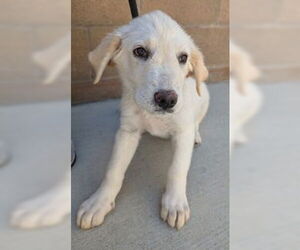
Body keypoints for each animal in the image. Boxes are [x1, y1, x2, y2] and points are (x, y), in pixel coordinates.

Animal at [77, 11, 209, 230]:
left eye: (183, 58)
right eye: (140, 51)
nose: (167, 99)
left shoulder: (182, 132)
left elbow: (177, 169)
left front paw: (174, 204)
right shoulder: (127, 132)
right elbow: (113, 170)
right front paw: (99, 202)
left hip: (204, 96)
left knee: (197, 121)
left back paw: (197, 135)